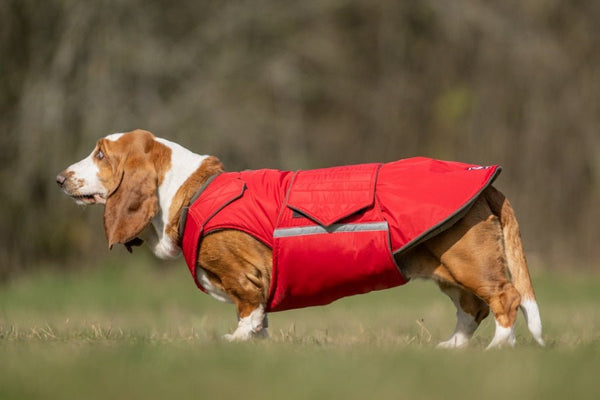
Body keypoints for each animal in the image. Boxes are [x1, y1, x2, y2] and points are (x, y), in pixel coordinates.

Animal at [56, 130, 544, 348]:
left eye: (100, 154)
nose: (59, 179)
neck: (189, 188)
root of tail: (487, 182)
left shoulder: (244, 280)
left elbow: (248, 311)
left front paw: (234, 341)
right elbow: (261, 320)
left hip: (469, 262)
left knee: (504, 299)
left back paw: (498, 347)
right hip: (448, 270)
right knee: (471, 309)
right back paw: (453, 349)